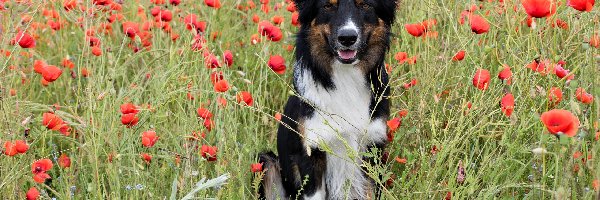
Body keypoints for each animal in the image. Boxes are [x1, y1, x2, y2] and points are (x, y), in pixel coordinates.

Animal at [258, 0, 396, 199]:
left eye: (365, 5)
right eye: (328, 6)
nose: (347, 38)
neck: (346, 78)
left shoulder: (372, 148)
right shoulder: (310, 152)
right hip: (267, 162)